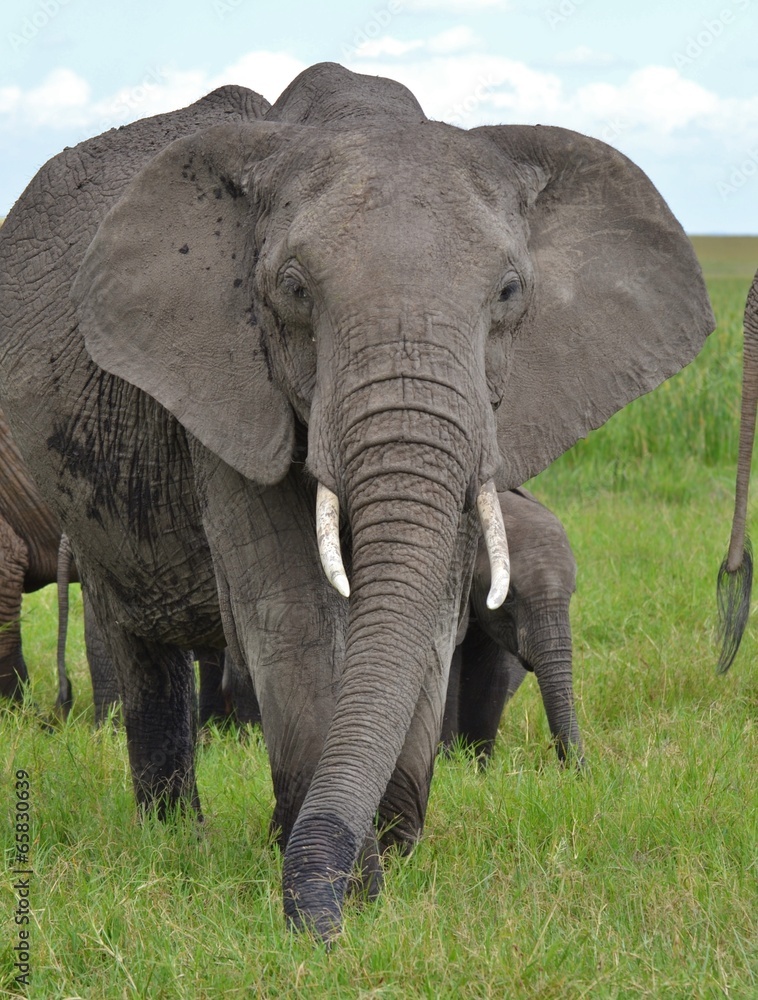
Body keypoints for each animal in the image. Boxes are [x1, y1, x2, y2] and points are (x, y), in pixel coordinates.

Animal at [442, 487, 581, 764]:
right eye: (509, 597)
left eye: (572, 592)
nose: (575, 770)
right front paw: (447, 762)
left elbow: (492, 678)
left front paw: (478, 766)